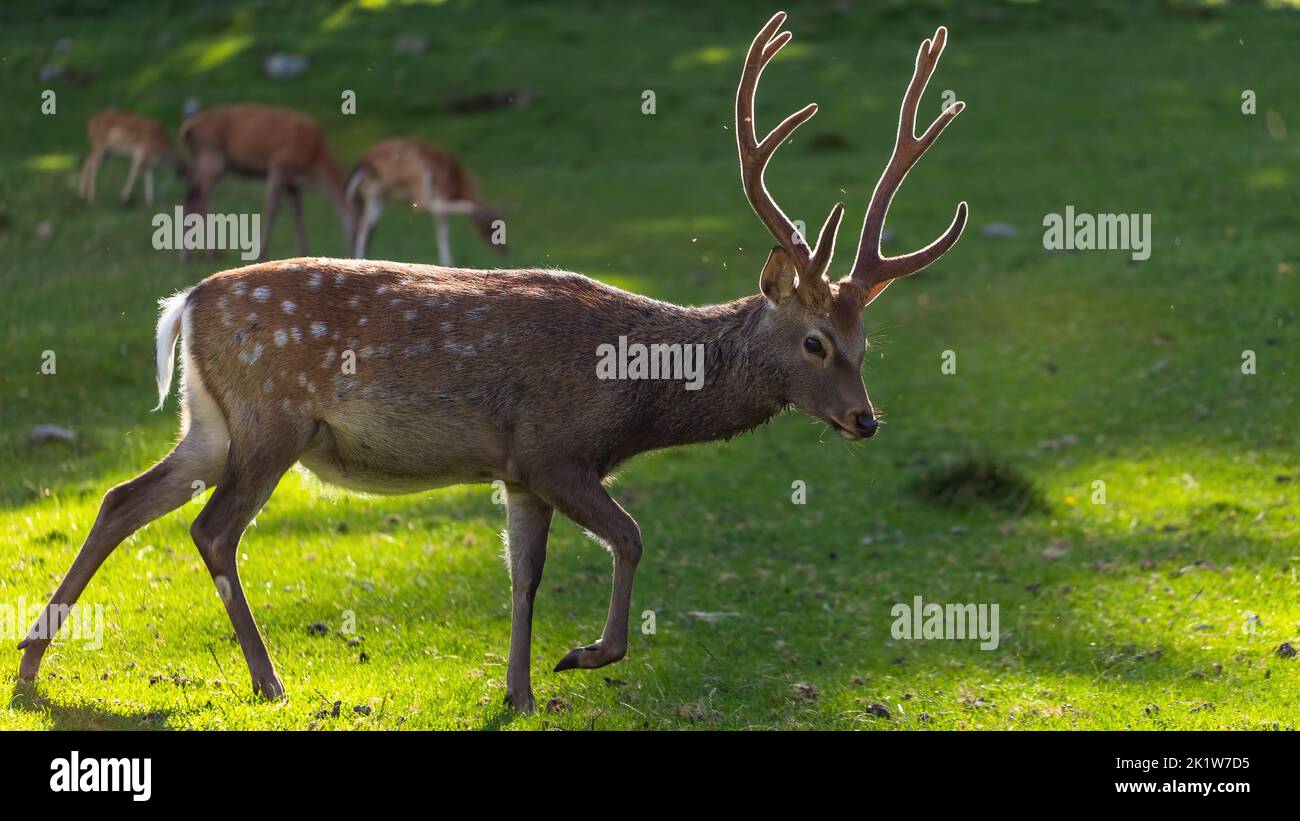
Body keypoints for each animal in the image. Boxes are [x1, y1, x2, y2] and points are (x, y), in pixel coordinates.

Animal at [178, 103, 354, 261]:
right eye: (358, 216)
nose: (352, 250)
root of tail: (187, 128)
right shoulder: (279, 167)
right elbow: (272, 208)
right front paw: (261, 252)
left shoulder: (293, 183)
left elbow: (297, 214)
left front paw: (304, 251)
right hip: (213, 157)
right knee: (199, 200)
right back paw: (210, 254)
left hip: (204, 161)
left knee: (189, 196)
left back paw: (187, 255)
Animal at [346, 137, 507, 265]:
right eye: (491, 227)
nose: (505, 250)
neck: (456, 183)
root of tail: (364, 164)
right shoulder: (441, 190)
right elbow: (442, 224)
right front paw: (448, 262)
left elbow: (443, 227)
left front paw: (448, 262)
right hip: (416, 175)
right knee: (422, 205)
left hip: (374, 195)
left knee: (364, 224)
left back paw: (359, 258)